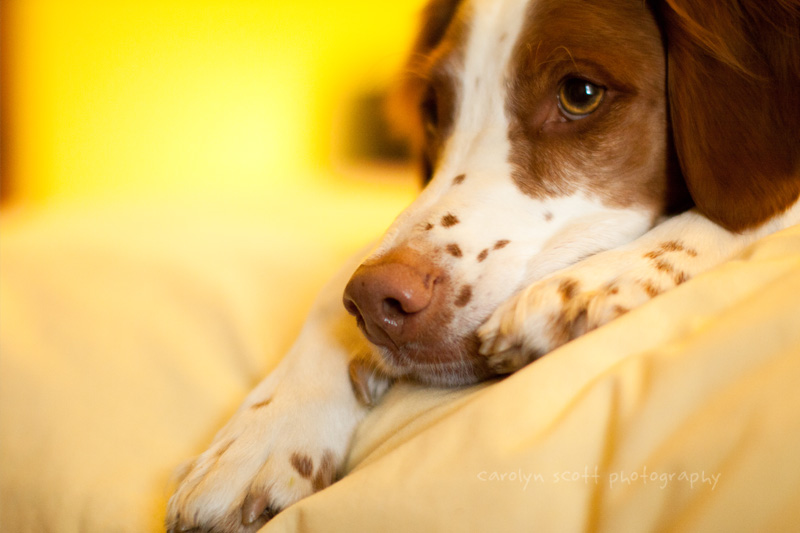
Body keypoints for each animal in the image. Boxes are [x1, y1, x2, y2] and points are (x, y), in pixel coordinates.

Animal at [166, 1, 796, 528]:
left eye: (581, 93)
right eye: (432, 111)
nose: (376, 304)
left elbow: (750, 212)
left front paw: (595, 282)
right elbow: (337, 280)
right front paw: (260, 435)